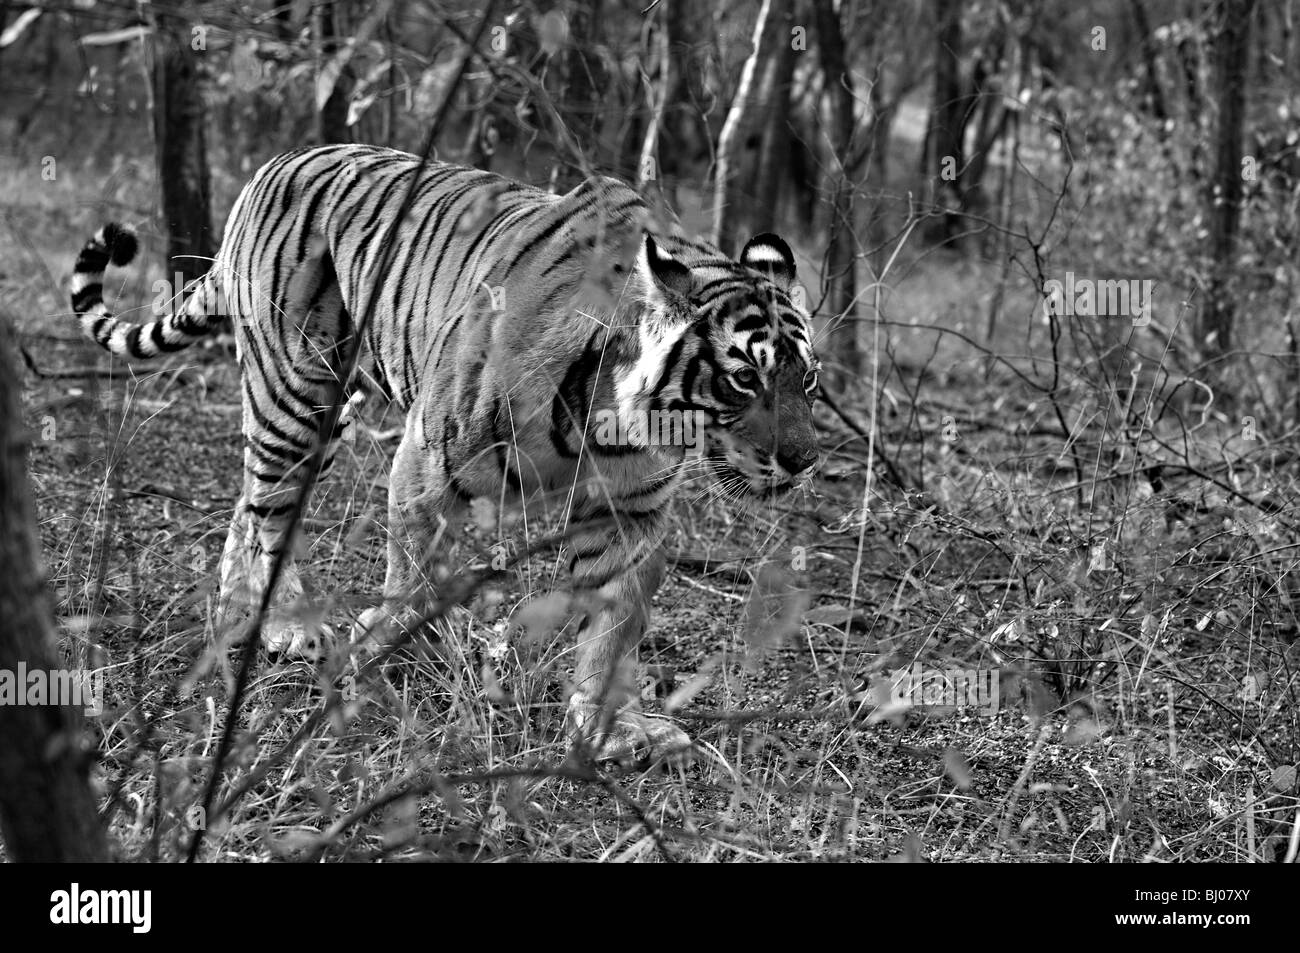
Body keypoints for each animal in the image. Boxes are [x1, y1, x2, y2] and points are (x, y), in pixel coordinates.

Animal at [69, 143, 821, 763]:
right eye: (745, 377)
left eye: (807, 380)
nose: (804, 462)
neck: (619, 411)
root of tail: (269, 166)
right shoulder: (429, 457)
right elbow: (415, 578)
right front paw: (402, 659)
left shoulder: (628, 509)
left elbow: (613, 620)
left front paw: (612, 727)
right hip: (296, 393)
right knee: (271, 513)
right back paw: (286, 627)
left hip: (327, 416)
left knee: (247, 506)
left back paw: (239, 615)